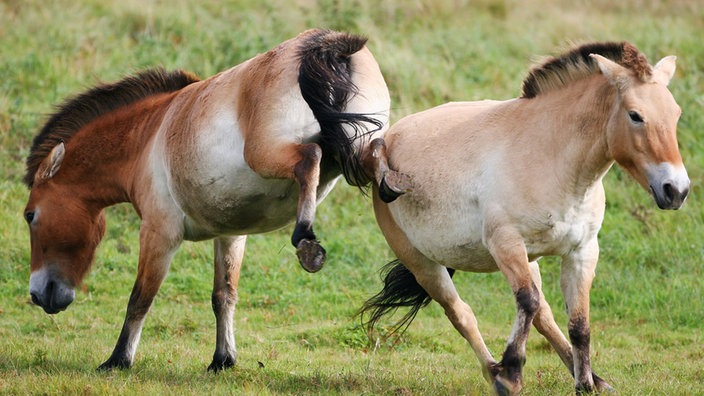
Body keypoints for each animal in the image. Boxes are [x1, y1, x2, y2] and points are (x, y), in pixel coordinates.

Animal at [24, 30, 394, 372]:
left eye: (30, 215)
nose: (38, 294)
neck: (148, 135)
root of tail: (327, 43)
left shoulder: (159, 233)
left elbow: (140, 298)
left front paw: (118, 360)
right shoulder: (230, 235)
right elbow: (223, 296)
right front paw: (222, 359)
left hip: (267, 155)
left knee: (309, 158)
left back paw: (306, 239)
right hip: (356, 151)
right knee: (377, 154)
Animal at [360, 41, 692, 394]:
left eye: (676, 114)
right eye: (635, 116)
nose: (676, 190)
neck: (551, 157)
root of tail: (385, 142)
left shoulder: (582, 251)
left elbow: (578, 323)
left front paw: (585, 384)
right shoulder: (506, 245)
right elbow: (528, 303)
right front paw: (511, 373)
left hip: (530, 260)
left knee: (543, 315)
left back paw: (592, 378)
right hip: (423, 264)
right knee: (462, 314)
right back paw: (494, 373)